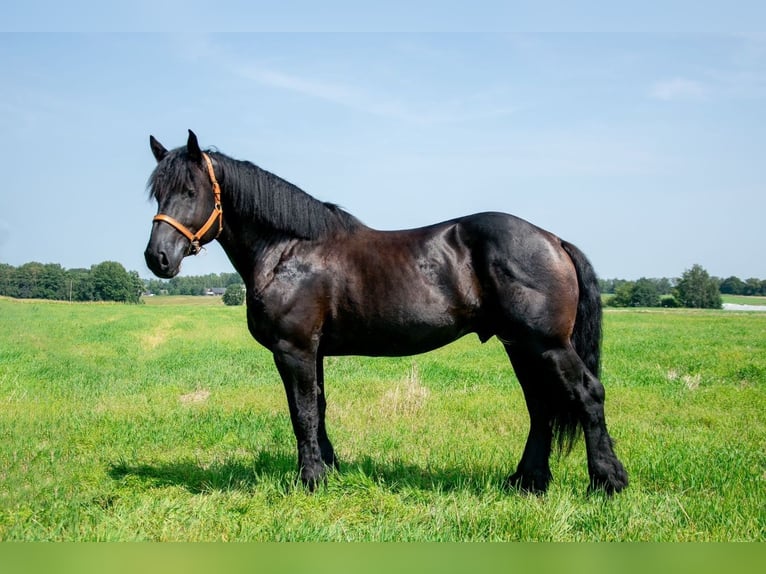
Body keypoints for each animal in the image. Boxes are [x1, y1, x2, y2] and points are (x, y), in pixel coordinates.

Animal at [144, 130, 632, 496]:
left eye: (190, 190)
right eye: (157, 194)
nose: (158, 258)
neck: (289, 250)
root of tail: (553, 240)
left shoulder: (293, 349)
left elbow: (301, 412)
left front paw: (310, 479)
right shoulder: (314, 352)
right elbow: (319, 407)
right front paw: (330, 469)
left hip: (546, 344)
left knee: (587, 394)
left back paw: (606, 482)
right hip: (521, 346)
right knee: (540, 406)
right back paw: (528, 481)